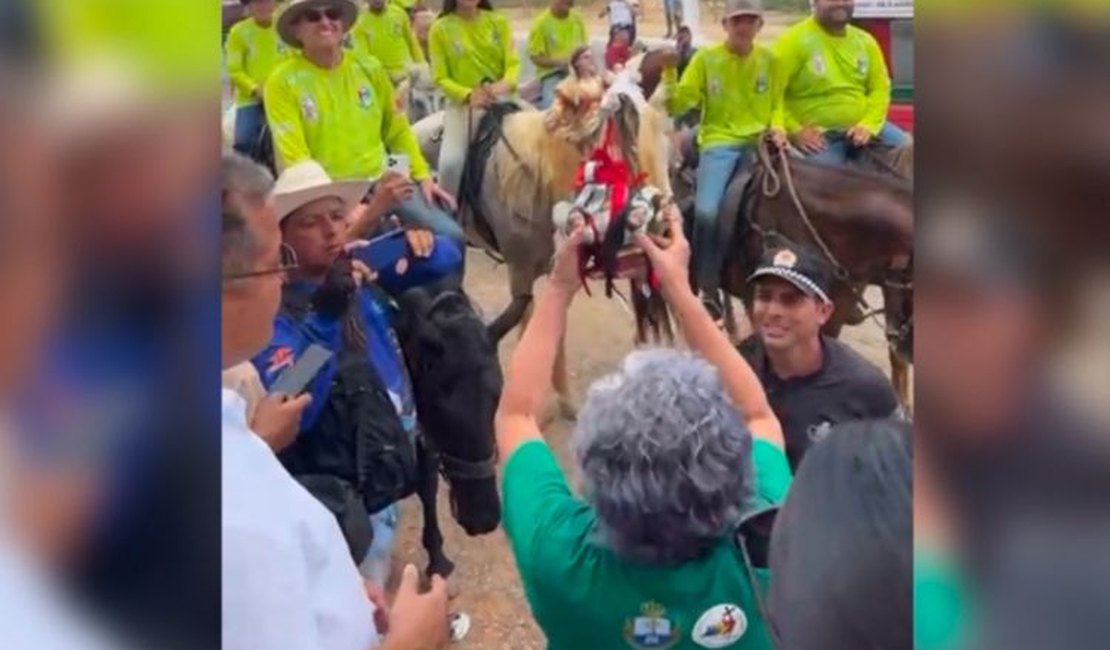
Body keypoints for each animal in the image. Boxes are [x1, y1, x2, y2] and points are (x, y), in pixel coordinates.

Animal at [392, 276, 501, 572]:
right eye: (440, 404)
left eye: (498, 395)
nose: (483, 518)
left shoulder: (426, 433)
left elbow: (427, 484)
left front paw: (437, 555)